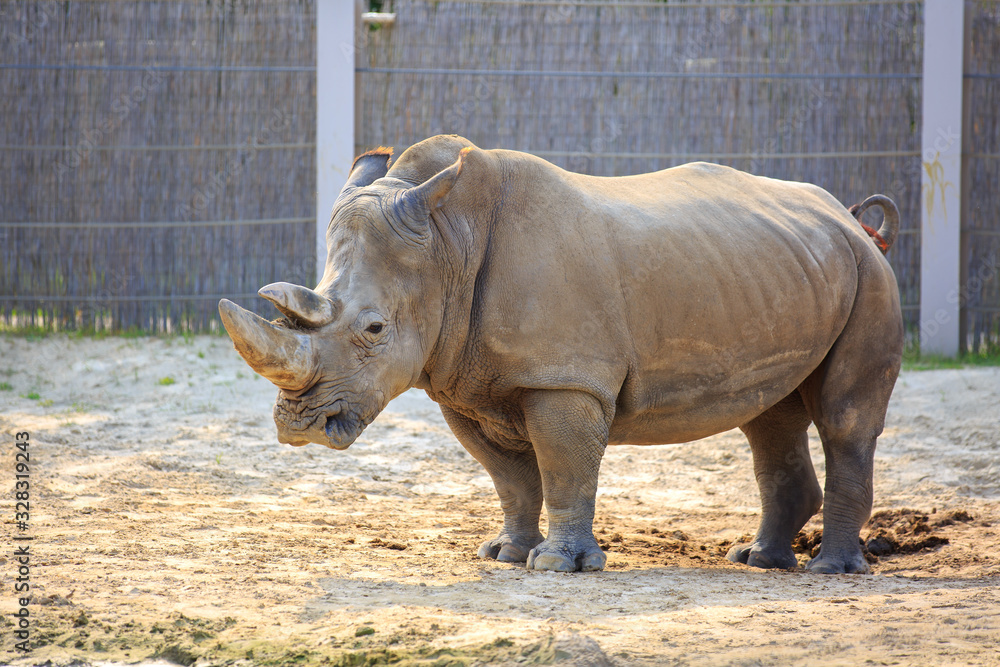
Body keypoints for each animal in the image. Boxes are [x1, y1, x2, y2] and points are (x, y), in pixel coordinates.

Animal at [219, 134, 903, 574]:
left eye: (375, 329)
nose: (300, 426)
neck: (448, 243)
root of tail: (848, 217)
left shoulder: (564, 378)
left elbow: (564, 465)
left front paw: (557, 565)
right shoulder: (464, 381)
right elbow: (511, 477)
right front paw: (506, 554)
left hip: (868, 274)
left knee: (844, 419)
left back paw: (830, 571)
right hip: (782, 266)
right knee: (768, 415)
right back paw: (758, 560)